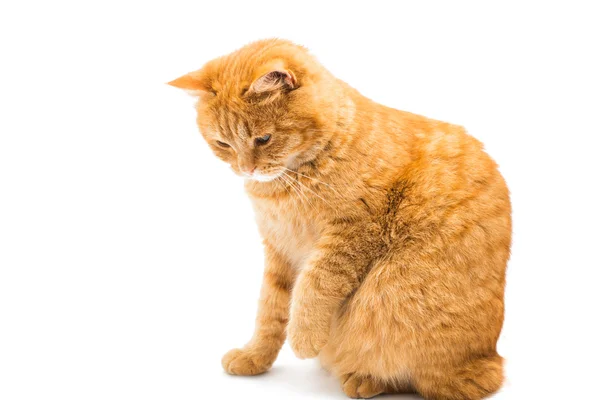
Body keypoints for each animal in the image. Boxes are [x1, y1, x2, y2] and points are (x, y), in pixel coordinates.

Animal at [168, 38, 510, 400]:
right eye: (223, 143)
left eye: (263, 139)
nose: (246, 169)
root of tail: (490, 357)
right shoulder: (279, 249)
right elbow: (270, 310)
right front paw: (255, 356)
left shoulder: (355, 231)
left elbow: (315, 285)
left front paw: (304, 337)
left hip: (391, 299)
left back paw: (364, 378)